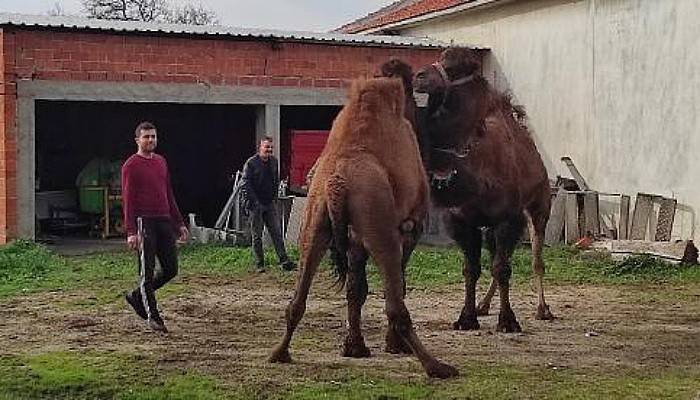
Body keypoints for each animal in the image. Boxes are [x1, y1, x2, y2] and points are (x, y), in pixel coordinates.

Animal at [268, 77, 460, 378]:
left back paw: (279, 353)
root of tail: (337, 183)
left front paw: (354, 347)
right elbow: (398, 283)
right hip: (378, 221)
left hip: (315, 218)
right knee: (395, 302)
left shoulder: (356, 237)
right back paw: (436, 366)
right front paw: (390, 345)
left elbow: (355, 288)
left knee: (299, 295)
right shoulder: (409, 227)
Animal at [412, 47, 556, 334]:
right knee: (496, 258)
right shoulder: (461, 221)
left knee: (536, 258)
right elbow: (472, 269)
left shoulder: (508, 218)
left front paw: (508, 321)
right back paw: (483, 305)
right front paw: (466, 317)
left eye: (454, 68)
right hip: (491, 225)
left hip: (538, 210)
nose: (419, 75)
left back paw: (543, 309)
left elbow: (502, 268)